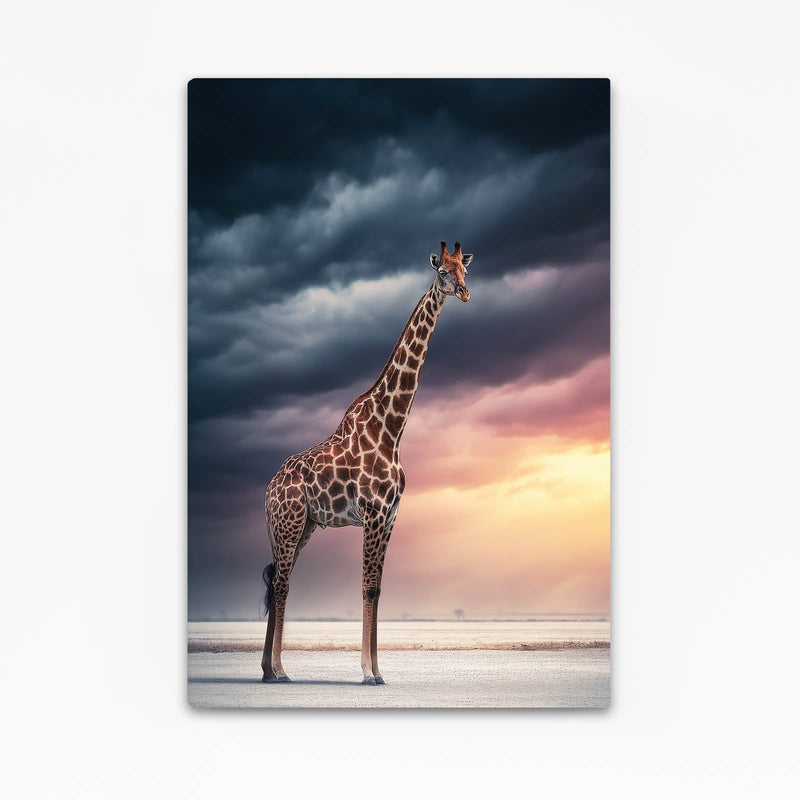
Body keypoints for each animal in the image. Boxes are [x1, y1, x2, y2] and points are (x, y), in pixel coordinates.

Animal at [261, 241, 473, 685]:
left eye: (465, 268)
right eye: (442, 272)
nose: (464, 292)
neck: (391, 429)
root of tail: (267, 490)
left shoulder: (390, 516)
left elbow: (378, 588)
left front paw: (378, 669)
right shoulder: (373, 513)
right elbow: (367, 586)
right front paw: (367, 671)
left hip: (301, 527)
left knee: (276, 580)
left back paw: (268, 670)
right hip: (289, 523)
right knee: (283, 583)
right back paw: (280, 670)